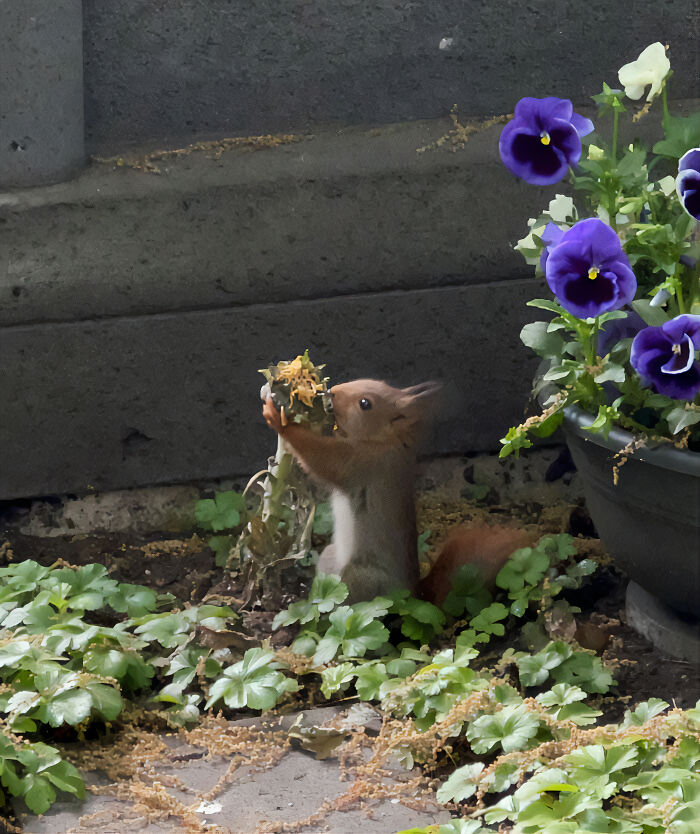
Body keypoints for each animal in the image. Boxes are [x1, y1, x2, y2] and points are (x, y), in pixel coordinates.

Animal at [262, 378, 528, 605]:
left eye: (365, 404)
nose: (332, 391)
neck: (384, 441)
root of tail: (414, 595)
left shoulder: (363, 464)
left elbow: (322, 458)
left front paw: (279, 419)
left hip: (360, 579)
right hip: (330, 557)